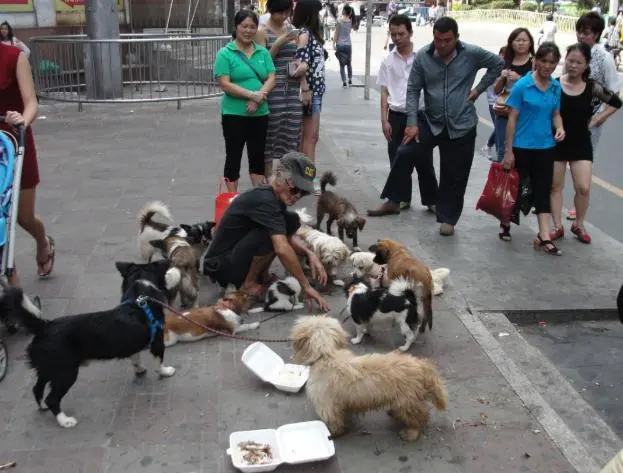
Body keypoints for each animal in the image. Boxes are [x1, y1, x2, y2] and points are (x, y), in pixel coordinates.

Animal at [15, 258, 180, 428]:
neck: (140, 297)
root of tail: (45, 326)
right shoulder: (157, 341)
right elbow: (159, 360)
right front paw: (165, 371)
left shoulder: (133, 344)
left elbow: (135, 357)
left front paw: (139, 369)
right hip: (66, 372)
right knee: (52, 398)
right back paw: (64, 420)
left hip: (46, 369)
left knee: (37, 388)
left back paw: (42, 406)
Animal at [292, 316, 448, 440]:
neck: (327, 355)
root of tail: (422, 365)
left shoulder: (327, 405)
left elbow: (334, 421)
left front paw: (334, 433)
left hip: (408, 402)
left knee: (419, 418)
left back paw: (410, 433)